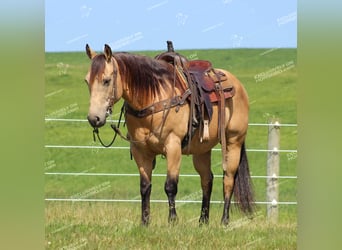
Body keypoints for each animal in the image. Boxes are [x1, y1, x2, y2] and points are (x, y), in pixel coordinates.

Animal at [83, 43, 254, 227]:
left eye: (106, 81)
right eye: (87, 81)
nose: (94, 118)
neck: (152, 99)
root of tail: (237, 85)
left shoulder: (173, 147)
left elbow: (170, 186)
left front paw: (172, 221)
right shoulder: (140, 151)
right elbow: (145, 187)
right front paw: (145, 222)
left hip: (233, 142)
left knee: (228, 179)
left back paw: (224, 221)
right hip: (202, 150)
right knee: (207, 180)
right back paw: (203, 221)